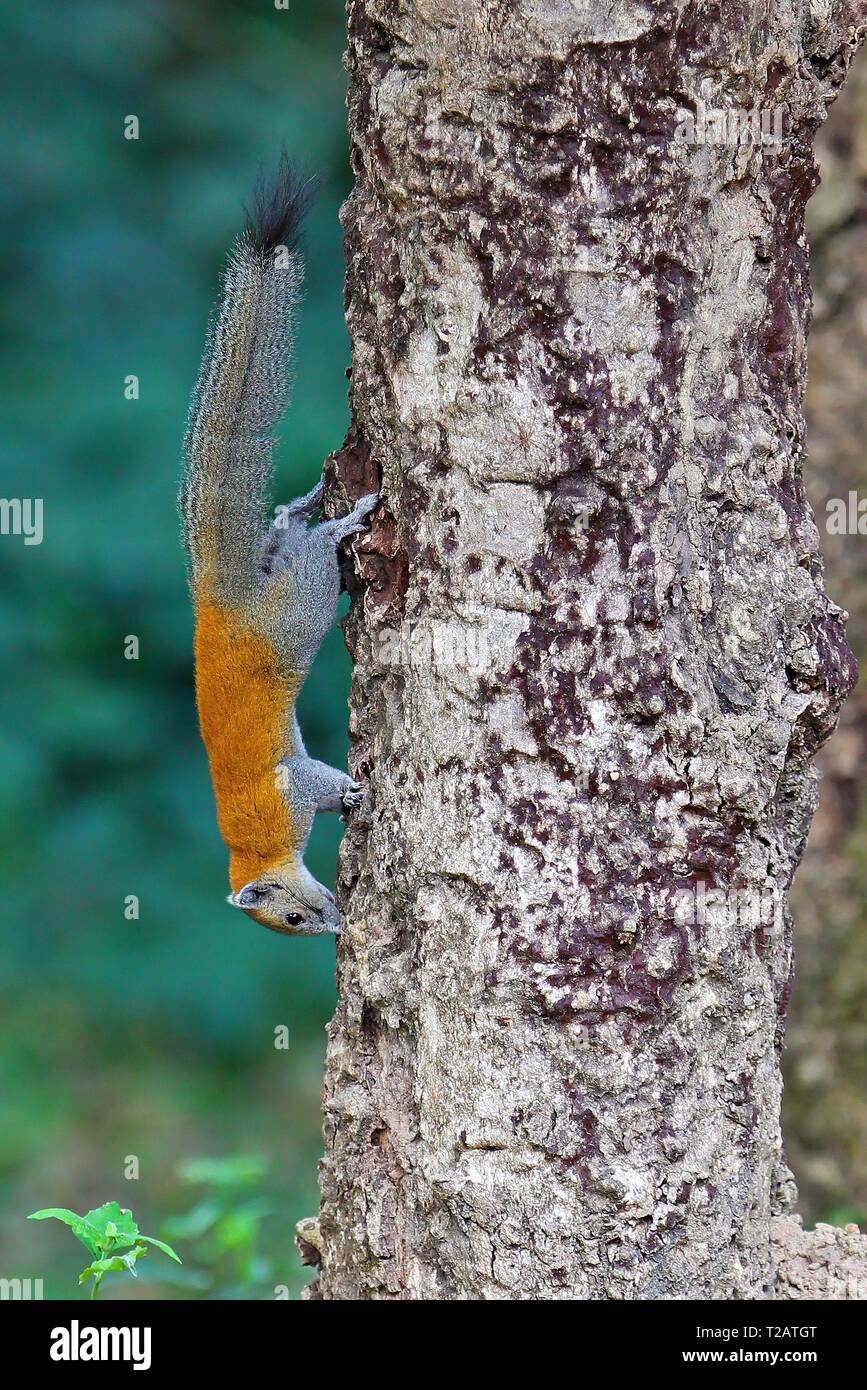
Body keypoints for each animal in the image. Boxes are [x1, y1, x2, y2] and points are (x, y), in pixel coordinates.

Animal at [179, 162, 375, 939]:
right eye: (292, 922)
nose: (332, 924)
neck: (253, 847)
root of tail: (215, 607)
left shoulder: (284, 795)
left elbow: (314, 780)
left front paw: (353, 792)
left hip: (296, 613)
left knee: (314, 557)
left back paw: (344, 519)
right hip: (282, 582)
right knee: (284, 531)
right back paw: (306, 507)